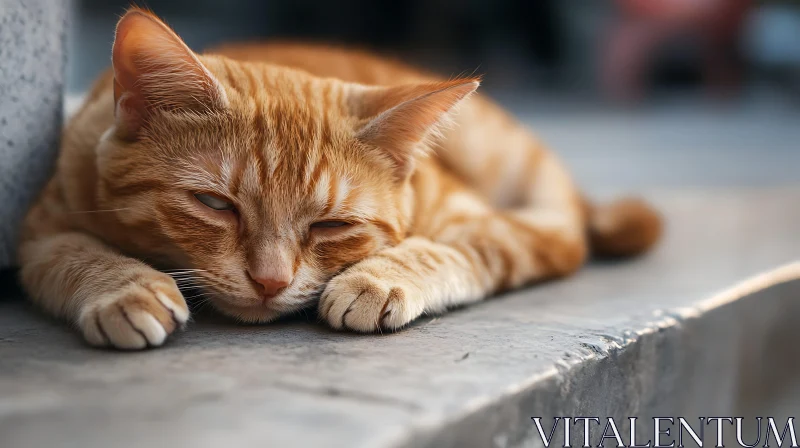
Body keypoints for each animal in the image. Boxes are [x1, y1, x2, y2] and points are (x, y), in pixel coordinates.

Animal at [17, 7, 664, 350]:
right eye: (214, 204)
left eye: (331, 225)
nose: (270, 282)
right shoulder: (42, 226)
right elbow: (73, 254)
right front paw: (127, 289)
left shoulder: (483, 223)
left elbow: (463, 246)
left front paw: (378, 278)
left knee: (569, 224)